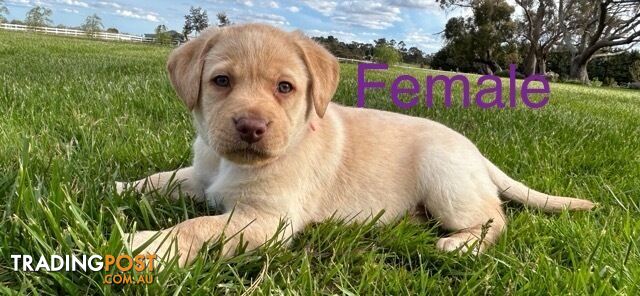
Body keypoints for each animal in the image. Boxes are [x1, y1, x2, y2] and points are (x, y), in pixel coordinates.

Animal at [116, 23, 596, 266]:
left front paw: (150, 246)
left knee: (495, 218)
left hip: (447, 183)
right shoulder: (201, 176)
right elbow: (163, 178)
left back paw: (459, 245)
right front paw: (120, 186)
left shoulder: (268, 220)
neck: (230, 164)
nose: (251, 126)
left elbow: (197, 226)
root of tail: (476, 152)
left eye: (285, 88)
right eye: (221, 81)